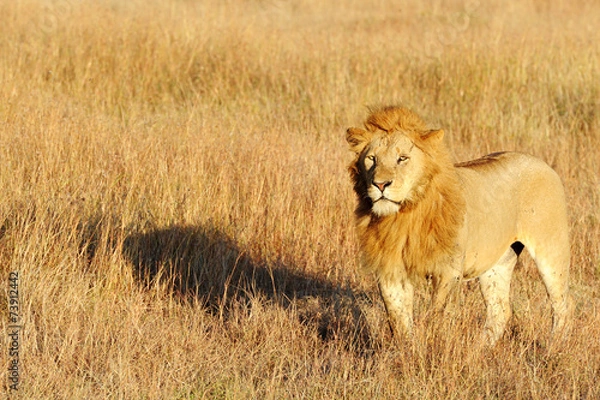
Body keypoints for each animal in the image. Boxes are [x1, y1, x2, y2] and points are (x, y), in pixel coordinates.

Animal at [346, 105, 572, 344]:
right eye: (372, 159)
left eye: (402, 158)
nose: (380, 184)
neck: (404, 215)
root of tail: (542, 163)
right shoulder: (390, 270)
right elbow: (398, 319)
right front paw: (405, 349)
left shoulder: (448, 270)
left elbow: (439, 314)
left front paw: (435, 346)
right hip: (498, 262)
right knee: (500, 309)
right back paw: (482, 348)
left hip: (551, 250)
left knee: (563, 304)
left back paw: (553, 346)